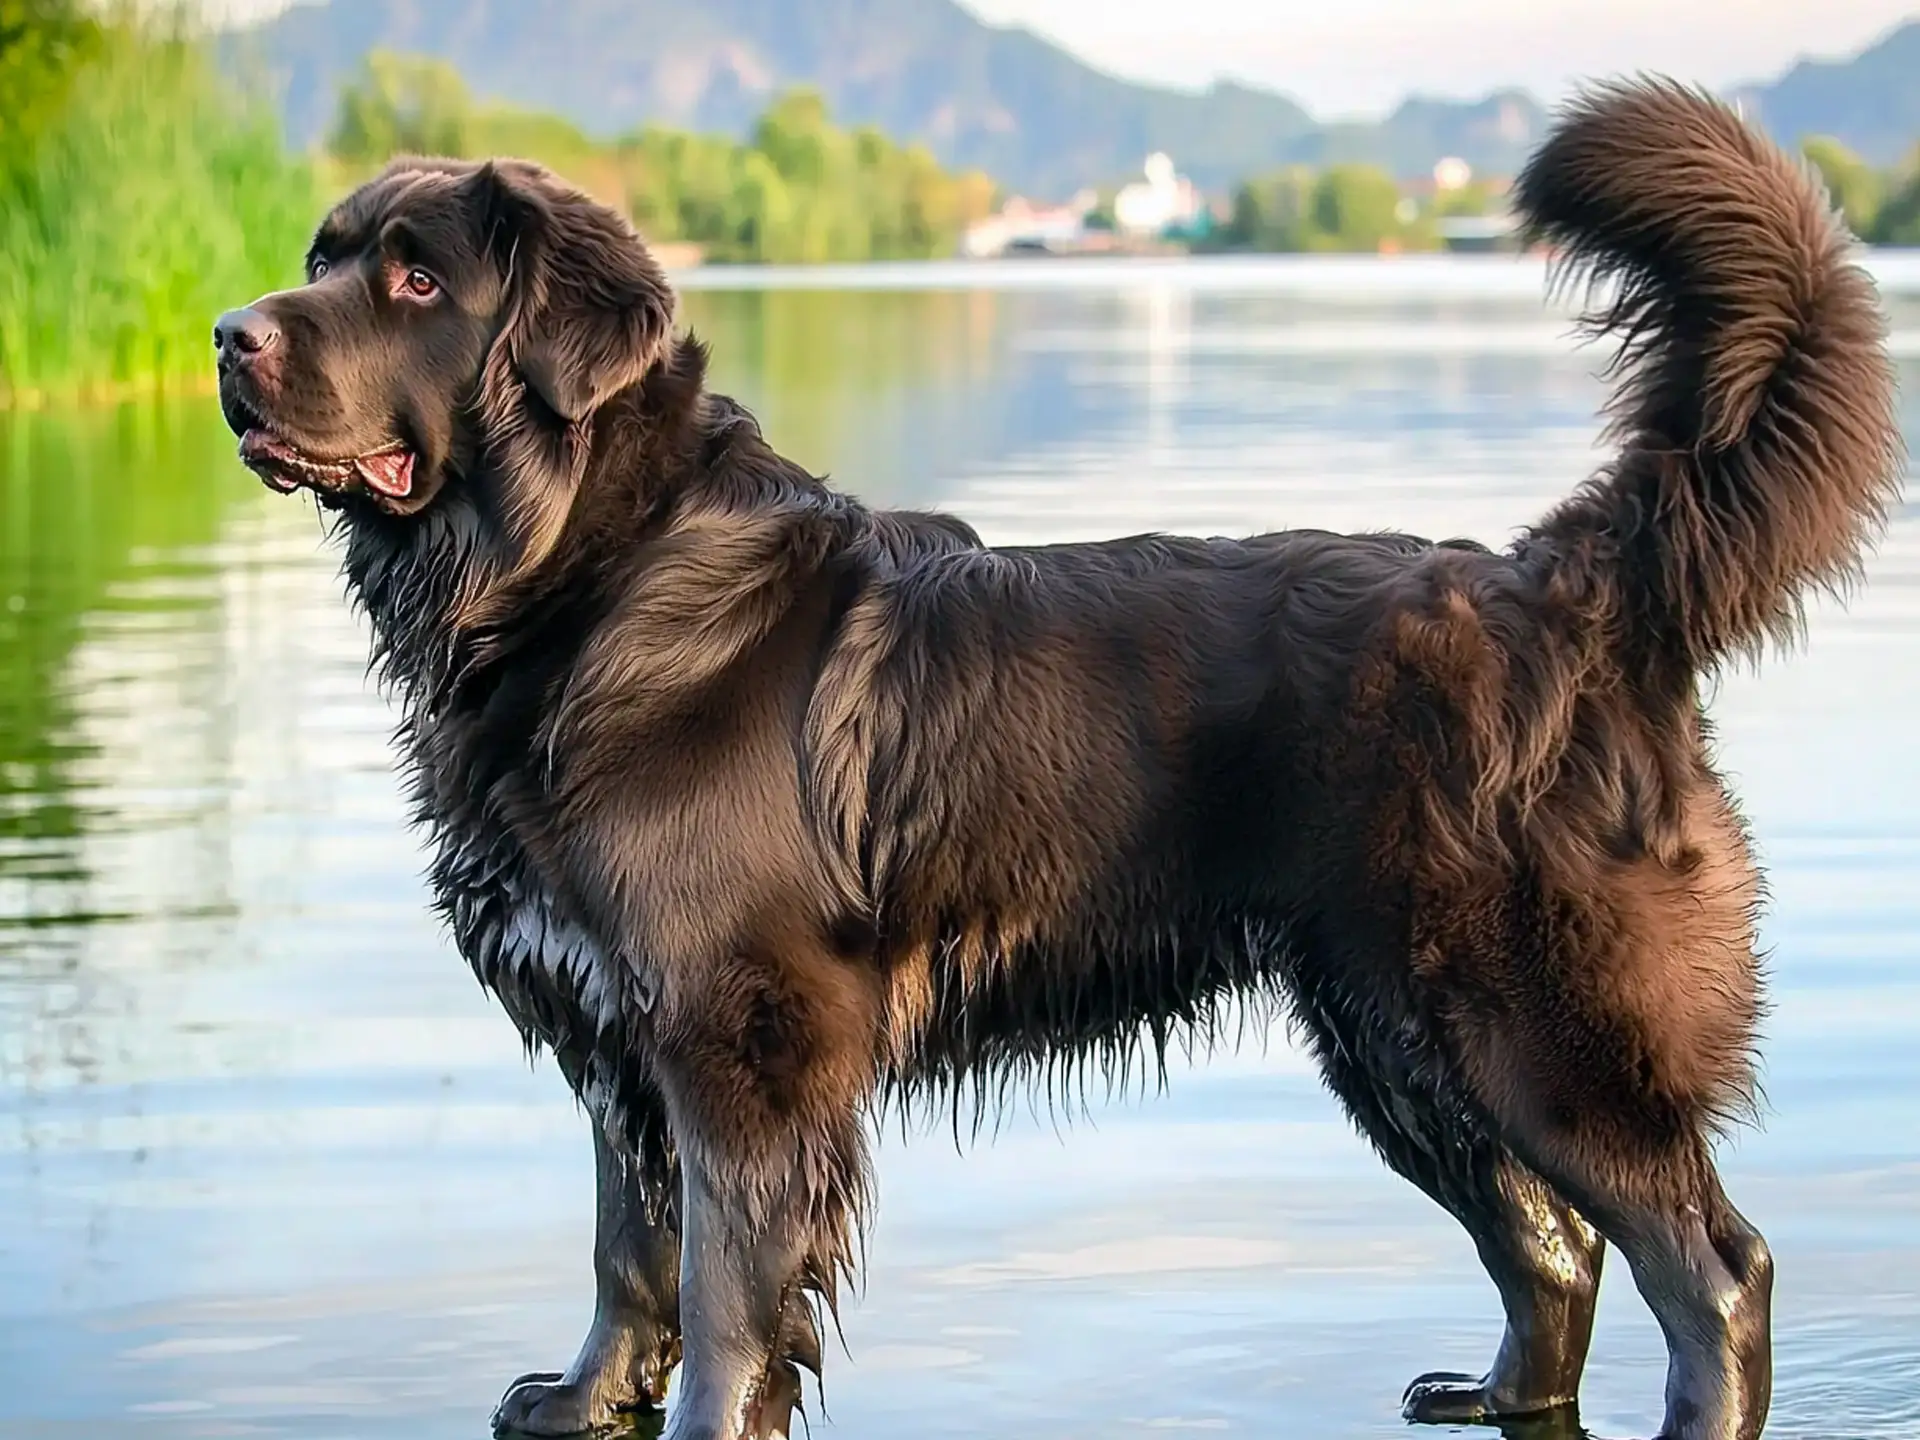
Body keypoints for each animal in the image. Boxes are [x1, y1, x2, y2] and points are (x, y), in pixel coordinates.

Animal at [217, 81, 1896, 1440]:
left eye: (414, 275)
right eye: (319, 256)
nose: (231, 336)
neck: (587, 574)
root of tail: (1565, 589)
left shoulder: (738, 1046)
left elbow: (724, 1296)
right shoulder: (618, 1030)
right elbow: (627, 1251)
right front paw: (581, 1401)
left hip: (1532, 1023)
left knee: (1712, 1266)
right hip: (1392, 1036)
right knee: (1556, 1246)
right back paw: (1493, 1394)